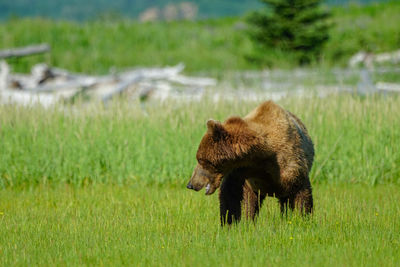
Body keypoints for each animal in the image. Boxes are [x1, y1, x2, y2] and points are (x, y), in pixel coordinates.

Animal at [186, 100, 314, 226]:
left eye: (200, 159)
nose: (190, 184)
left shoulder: (289, 166)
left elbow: (301, 194)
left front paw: (302, 219)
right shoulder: (243, 171)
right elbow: (233, 195)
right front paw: (231, 222)